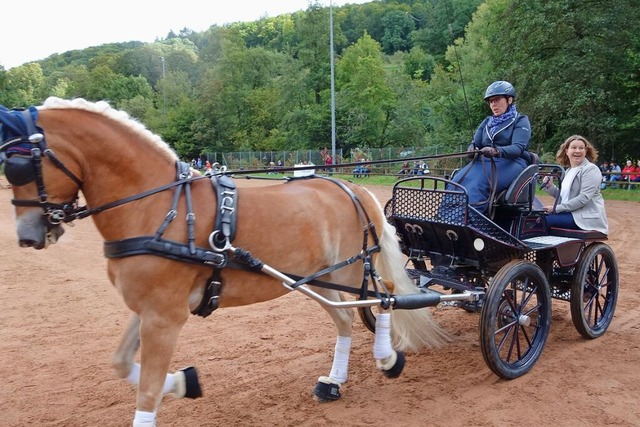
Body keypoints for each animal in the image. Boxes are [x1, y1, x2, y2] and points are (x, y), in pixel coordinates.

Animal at [0, 98, 450, 427]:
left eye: (18, 164)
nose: (27, 236)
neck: (156, 208)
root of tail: (353, 188)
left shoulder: (163, 316)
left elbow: (147, 390)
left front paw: (170, 385)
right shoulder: (149, 308)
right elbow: (123, 363)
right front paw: (183, 382)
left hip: (351, 269)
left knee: (384, 297)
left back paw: (387, 359)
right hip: (317, 280)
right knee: (345, 318)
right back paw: (334, 382)